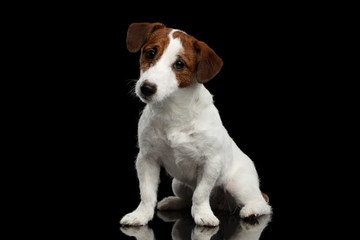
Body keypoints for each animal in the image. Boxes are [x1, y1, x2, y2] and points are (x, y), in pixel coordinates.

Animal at [120, 22, 270, 227]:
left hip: (239, 185)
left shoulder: (211, 163)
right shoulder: (147, 159)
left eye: (179, 64)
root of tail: (221, 204)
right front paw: (141, 215)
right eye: (150, 53)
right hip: (178, 183)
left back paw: (251, 210)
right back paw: (172, 202)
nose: (146, 88)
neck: (173, 111)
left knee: (262, 203)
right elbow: (147, 192)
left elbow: (200, 193)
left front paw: (203, 215)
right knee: (186, 197)